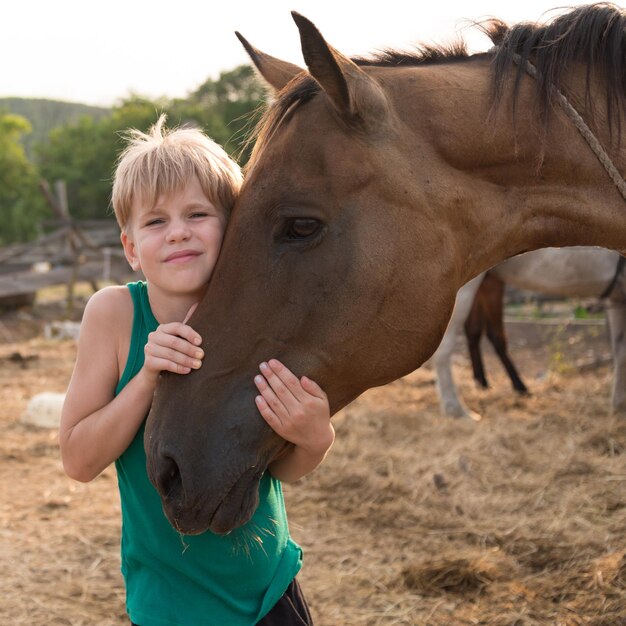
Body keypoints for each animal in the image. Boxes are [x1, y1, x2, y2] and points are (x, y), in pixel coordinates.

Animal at [432, 246, 624, 416]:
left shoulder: (617, 299)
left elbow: (620, 350)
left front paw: (618, 405)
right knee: (447, 346)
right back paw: (456, 409)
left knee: (477, 333)